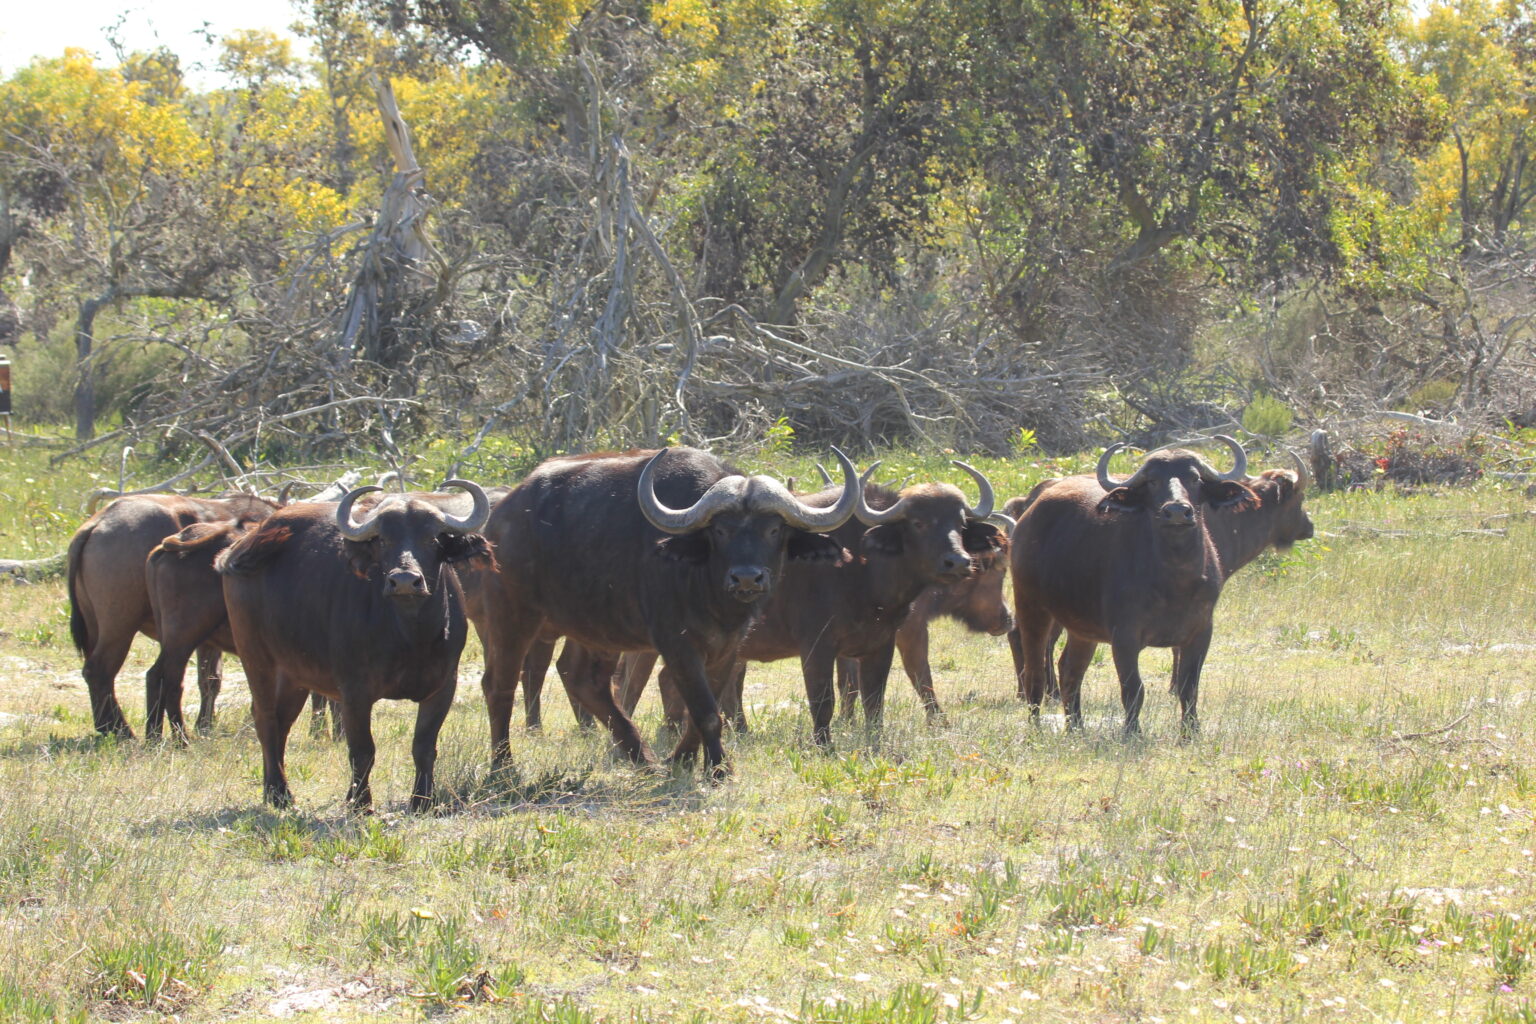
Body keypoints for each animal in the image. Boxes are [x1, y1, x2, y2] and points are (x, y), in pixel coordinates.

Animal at [217, 482, 491, 810]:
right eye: (383, 539)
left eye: (433, 537)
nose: (404, 581)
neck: (411, 636)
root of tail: (240, 548)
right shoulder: (354, 692)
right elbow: (362, 750)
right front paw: (360, 802)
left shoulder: (443, 686)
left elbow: (423, 746)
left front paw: (421, 800)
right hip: (256, 659)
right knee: (265, 719)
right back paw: (279, 793)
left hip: (293, 674)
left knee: (282, 721)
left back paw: (275, 790)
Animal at [477, 447, 860, 777]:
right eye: (720, 530)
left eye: (774, 529)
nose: (747, 577)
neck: (708, 590)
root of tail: (500, 518)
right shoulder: (676, 643)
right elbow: (705, 710)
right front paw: (718, 769)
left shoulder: (728, 647)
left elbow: (705, 708)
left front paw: (683, 759)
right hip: (512, 614)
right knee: (499, 684)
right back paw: (504, 768)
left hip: (596, 629)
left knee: (584, 679)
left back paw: (642, 758)